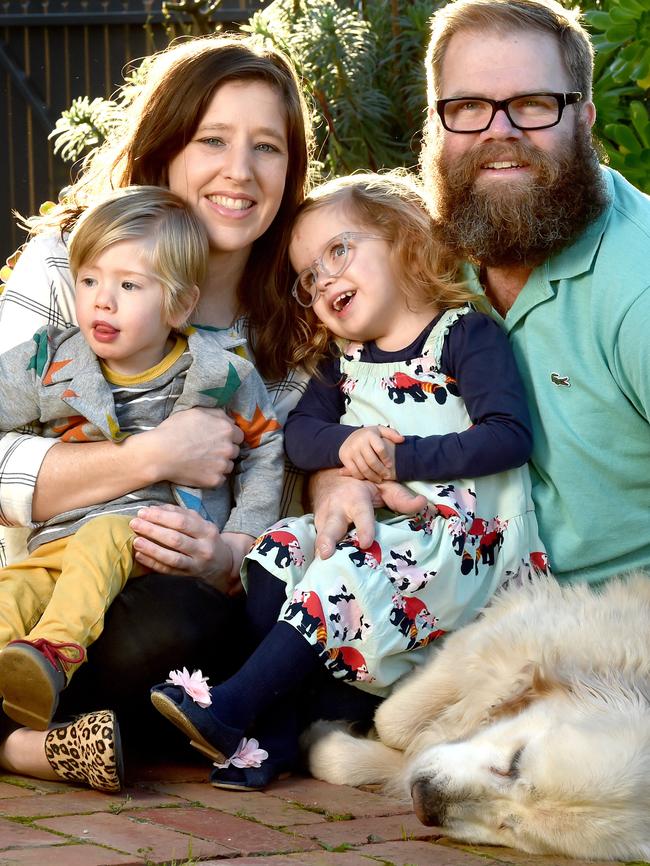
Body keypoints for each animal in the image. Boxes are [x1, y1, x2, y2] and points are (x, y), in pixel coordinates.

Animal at [306, 572, 648, 856]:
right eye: (514, 763)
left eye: (510, 826)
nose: (423, 800)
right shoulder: (494, 638)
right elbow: (393, 720)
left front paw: (322, 741)